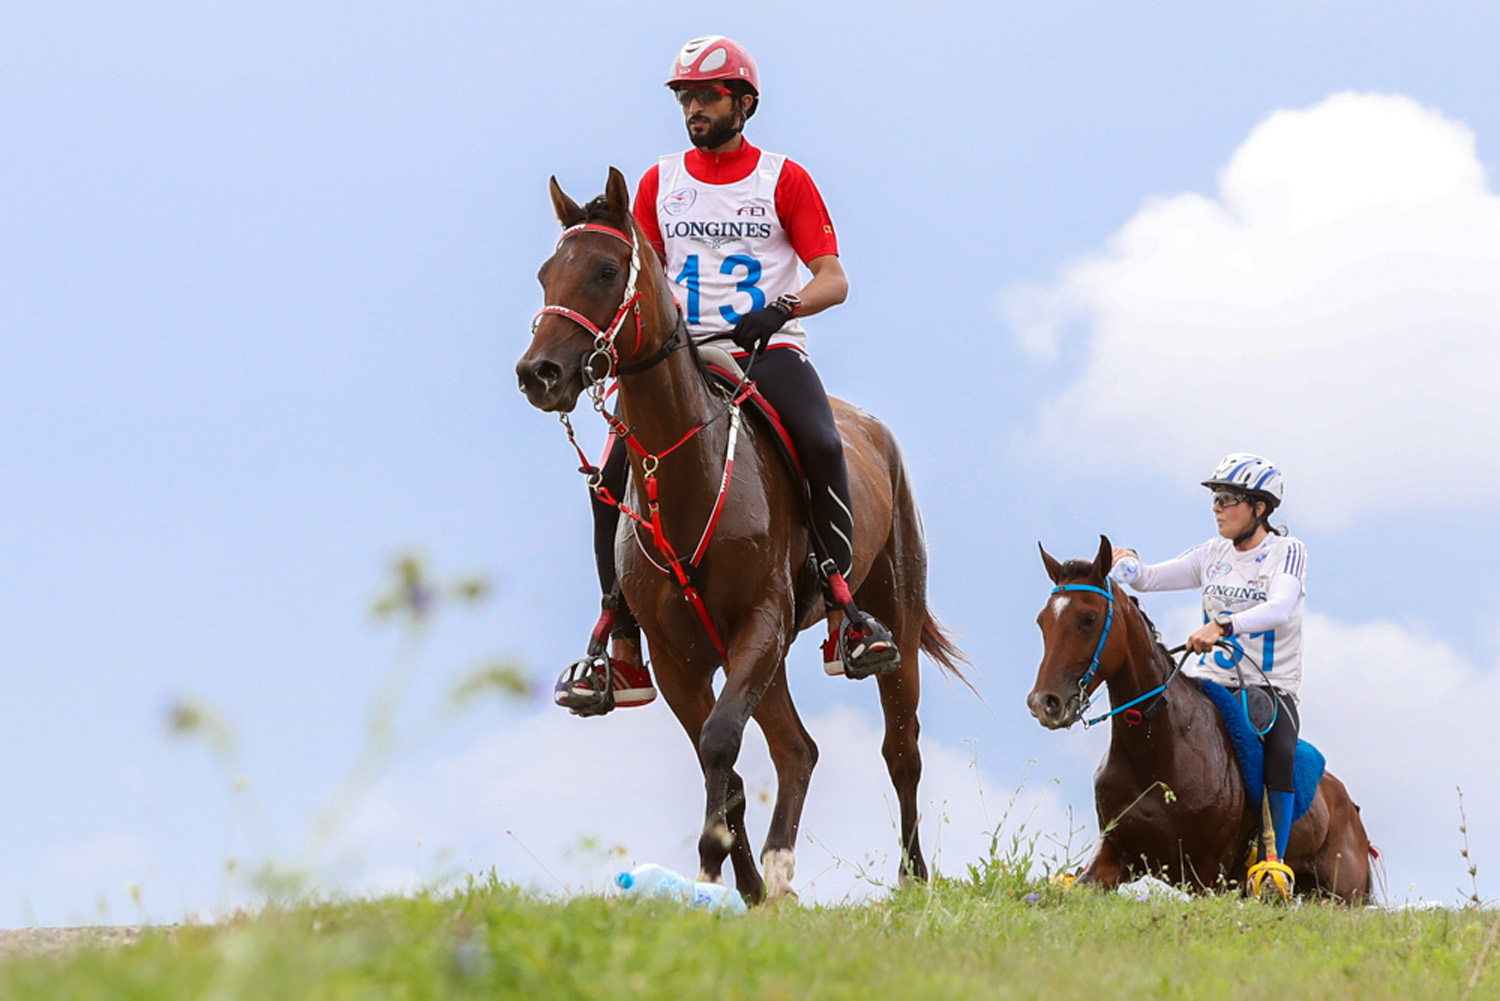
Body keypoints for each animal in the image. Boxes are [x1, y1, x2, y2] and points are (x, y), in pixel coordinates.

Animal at [510, 168, 966, 906]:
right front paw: (738, 883)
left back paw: (912, 877)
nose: (538, 374)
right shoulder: (679, 655)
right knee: (797, 749)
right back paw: (776, 879)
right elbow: (720, 764)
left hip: (886, 618)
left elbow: (722, 742)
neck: (685, 469)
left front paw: (712, 868)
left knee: (901, 749)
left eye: (606, 270)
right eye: (547, 272)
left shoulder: (762, 620)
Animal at [1032, 537, 1374, 906]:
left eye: (1090, 618)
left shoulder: (1209, 877)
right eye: (1042, 621)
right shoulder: (1115, 854)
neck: (1157, 752)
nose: (1044, 703)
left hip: (1343, 895)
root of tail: (1349, 806)